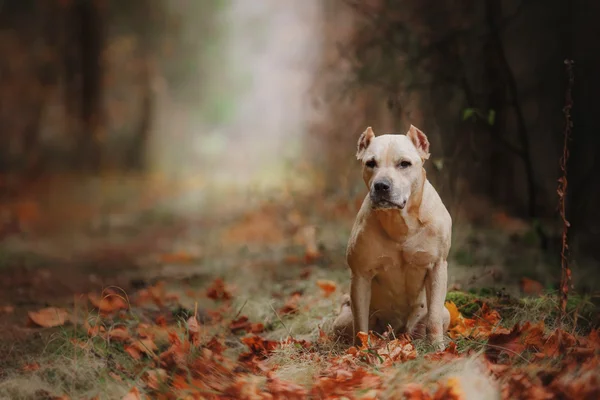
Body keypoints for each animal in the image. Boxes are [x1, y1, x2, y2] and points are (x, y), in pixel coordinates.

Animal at [332, 125, 450, 350]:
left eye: (404, 164)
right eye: (370, 163)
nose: (381, 185)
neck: (399, 221)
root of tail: (395, 333)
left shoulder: (437, 266)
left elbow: (434, 317)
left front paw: (437, 348)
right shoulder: (361, 275)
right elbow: (360, 322)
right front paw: (361, 350)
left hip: (441, 314)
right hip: (342, 319)